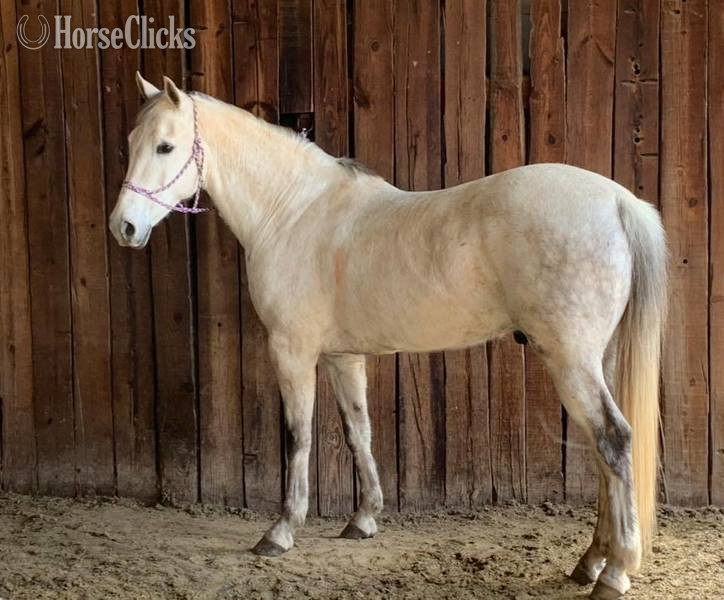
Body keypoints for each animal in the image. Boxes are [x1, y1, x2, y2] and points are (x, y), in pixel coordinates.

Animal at [109, 74, 667, 600]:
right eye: (132, 142)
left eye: (166, 147)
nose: (124, 227)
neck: (293, 212)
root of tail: (618, 202)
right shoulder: (341, 357)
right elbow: (359, 431)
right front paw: (364, 519)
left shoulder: (291, 351)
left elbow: (298, 436)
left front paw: (281, 531)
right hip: (595, 361)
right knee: (603, 452)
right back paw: (590, 561)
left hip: (570, 360)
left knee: (614, 440)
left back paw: (614, 572)